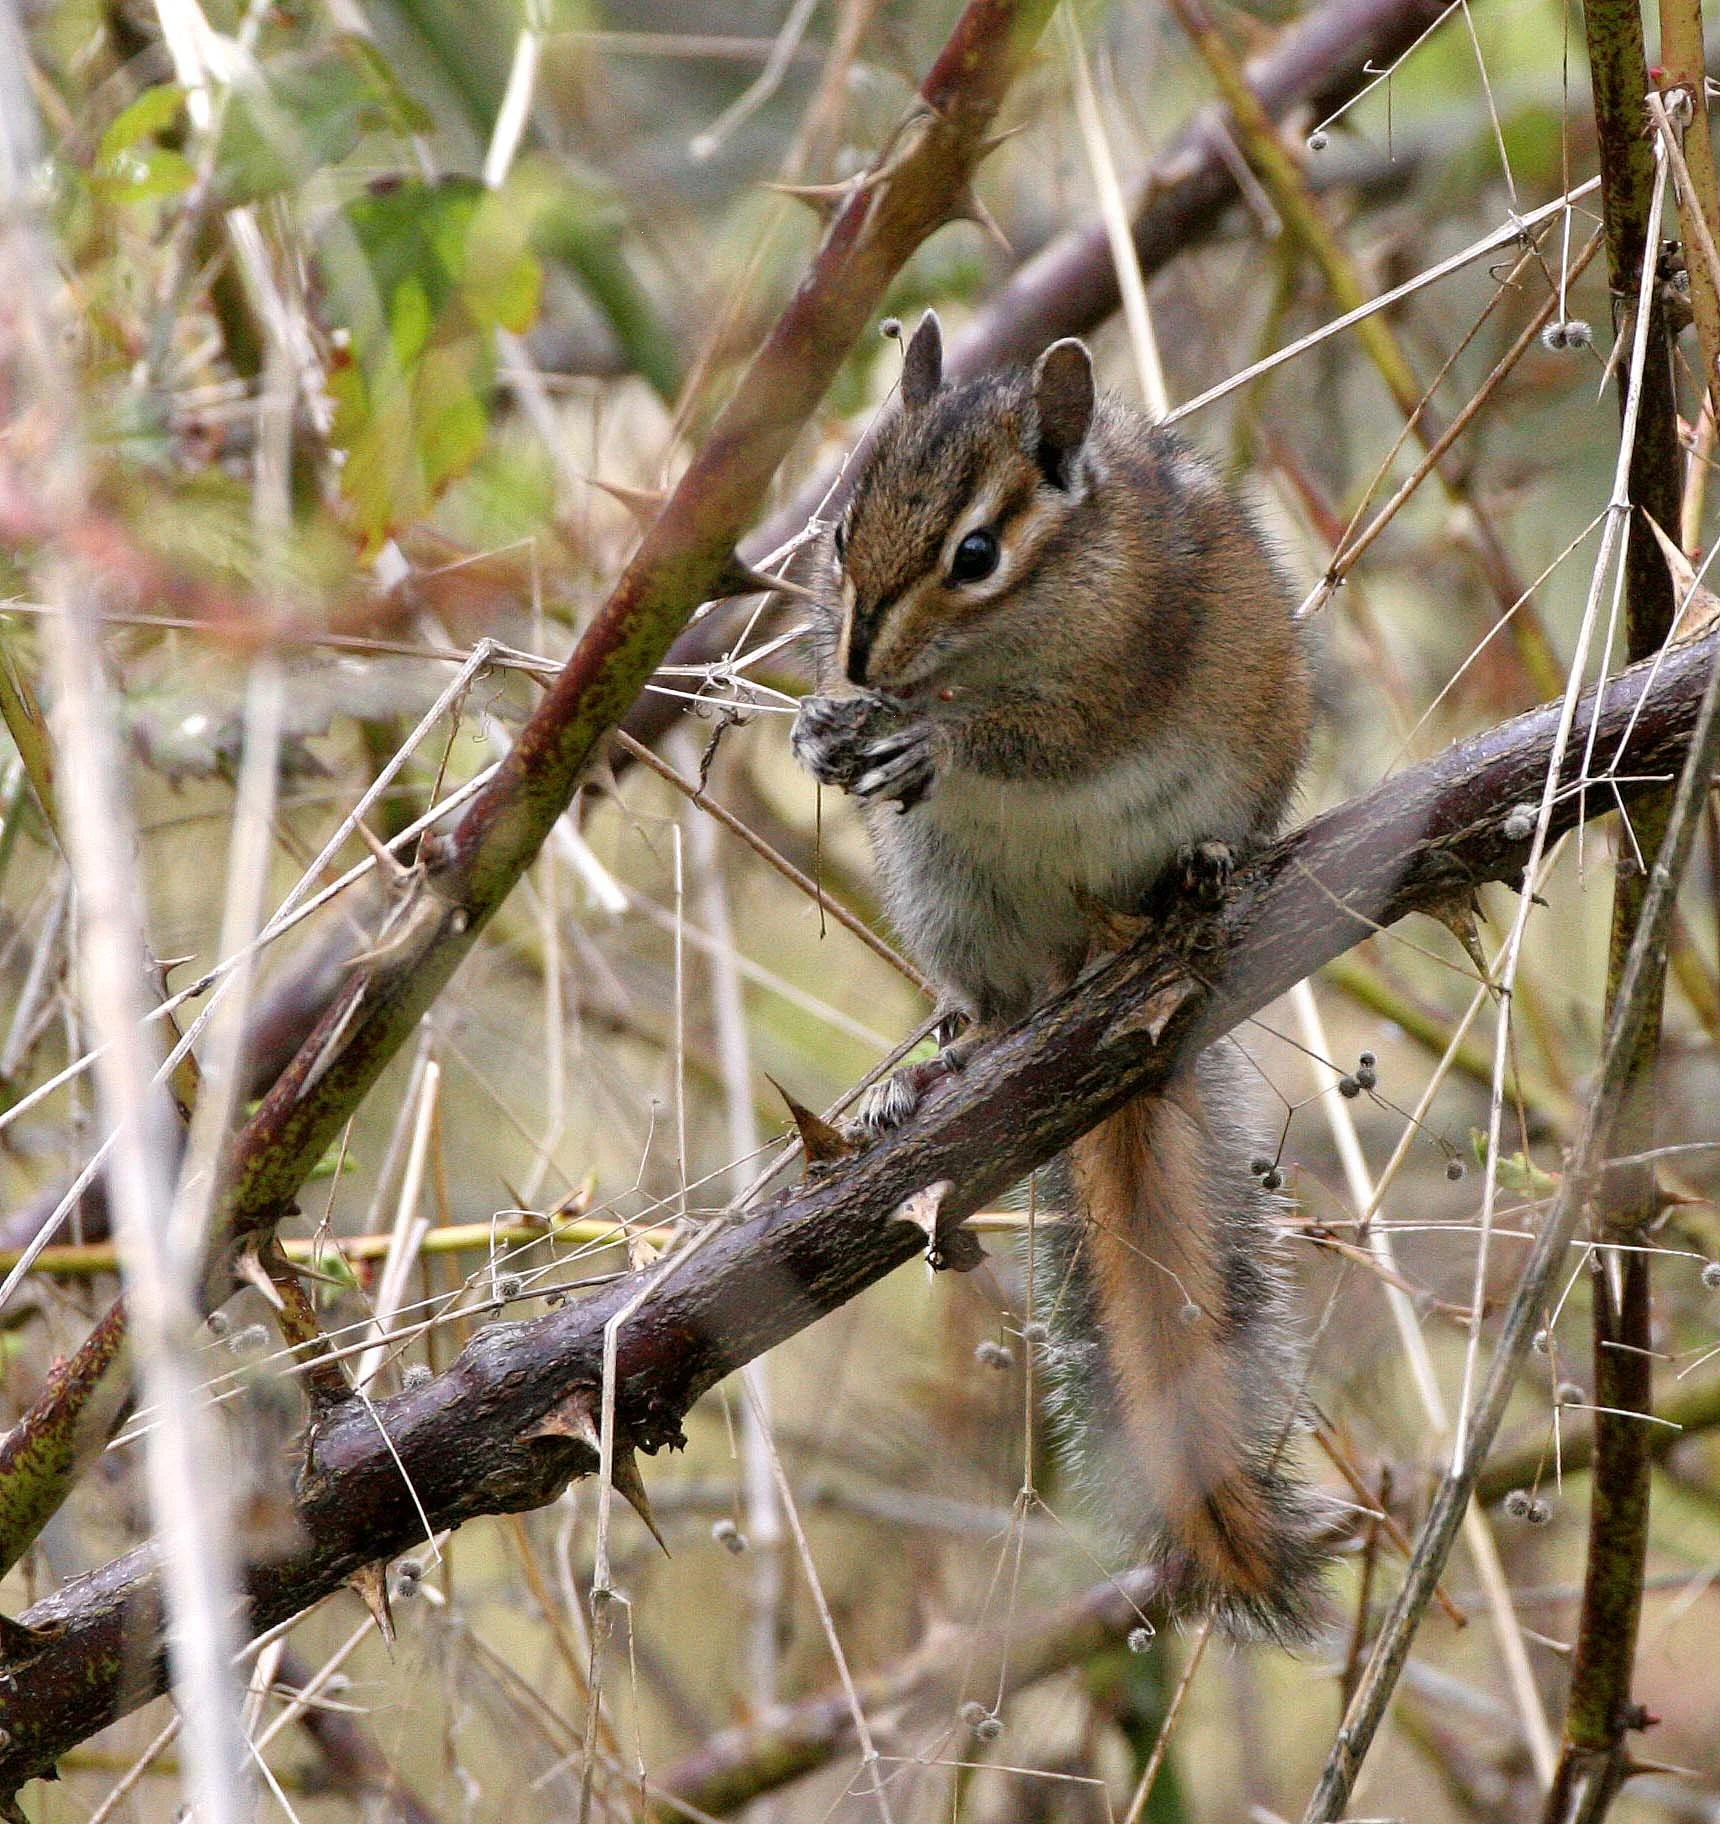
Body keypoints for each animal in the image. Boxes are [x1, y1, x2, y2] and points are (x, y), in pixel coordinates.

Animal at [790, 312, 1330, 1642]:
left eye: (976, 554)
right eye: (841, 526)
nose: (858, 661)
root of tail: (1093, 958)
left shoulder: (1120, 656)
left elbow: (1043, 736)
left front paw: (932, 736)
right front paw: (823, 727)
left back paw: (1195, 871)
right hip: (957, 902)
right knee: (999, 1008)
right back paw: (930, 1078)